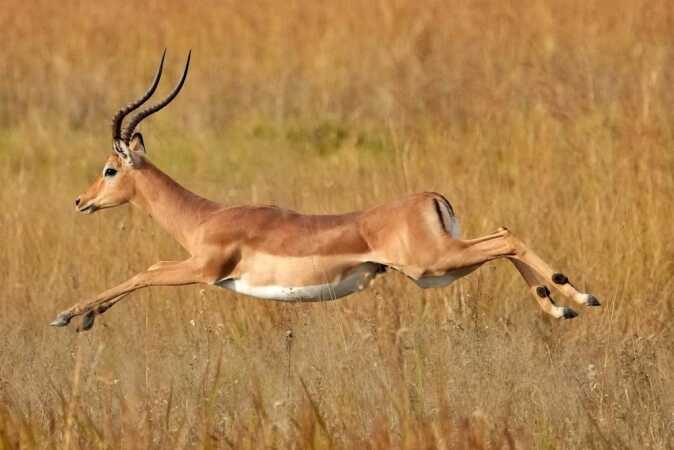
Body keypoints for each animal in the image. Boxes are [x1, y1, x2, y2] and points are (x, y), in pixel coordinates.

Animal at [51, 51, 600, 332]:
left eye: (108, 170)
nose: (79, 202)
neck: (204, 218)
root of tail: (431, 198)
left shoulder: (203, 269)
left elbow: (145, 271)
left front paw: (70, 315)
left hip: (432, 264)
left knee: (506, 238)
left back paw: (580, 294)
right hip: (439, 270)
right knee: (504, 239)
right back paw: (561, 305)